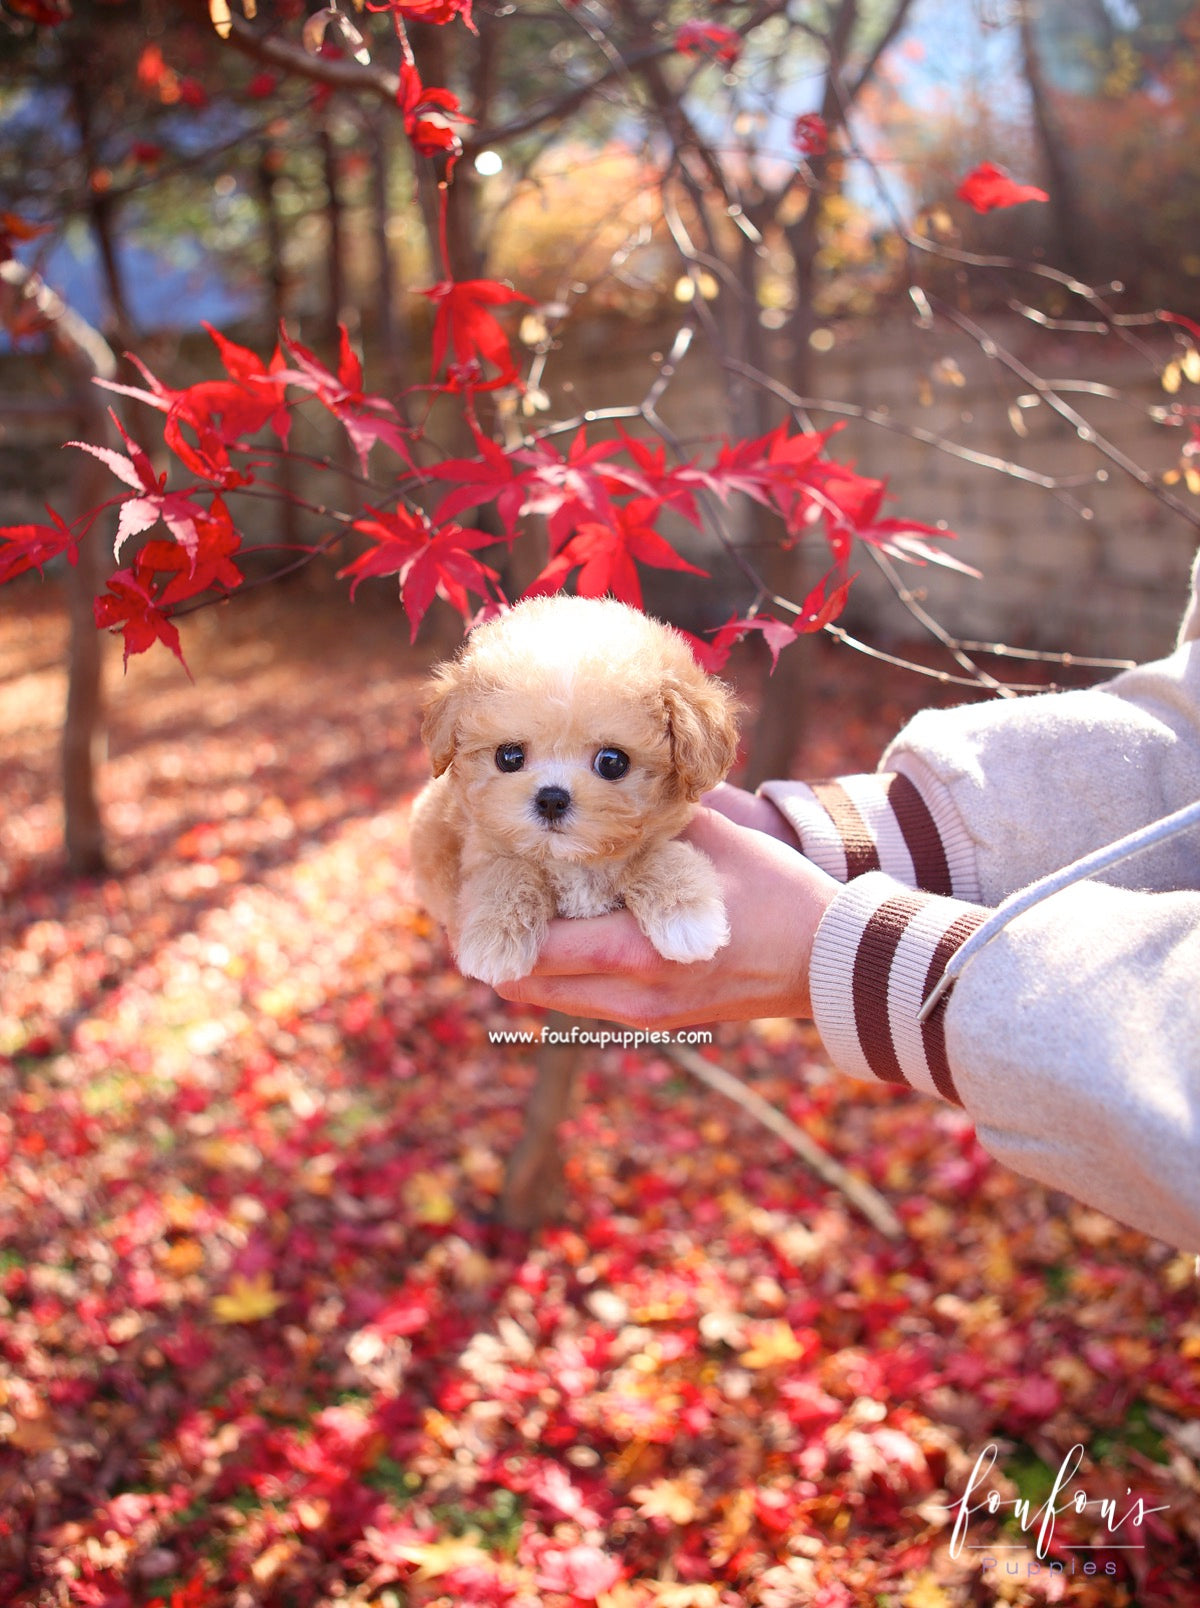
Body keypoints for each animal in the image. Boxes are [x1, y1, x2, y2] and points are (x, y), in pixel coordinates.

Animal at [406, 598, 733, 984]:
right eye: (509, 757)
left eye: (612, 762)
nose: (551, 799)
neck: (572, 863)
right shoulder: (480, 848)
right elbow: (506, 871)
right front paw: (496, 938)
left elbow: (659, 854)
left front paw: (687, 915)